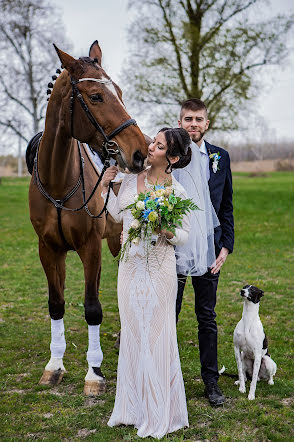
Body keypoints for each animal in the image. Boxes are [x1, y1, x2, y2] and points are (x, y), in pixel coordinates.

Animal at [29, 40, 147, 394]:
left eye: (119, 92)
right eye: (95, 96)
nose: (141, 150)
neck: (58, 183)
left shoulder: (90, 246)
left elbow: (92, 308)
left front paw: (94, 373)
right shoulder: (48, 249)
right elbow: (56, 303)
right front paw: (54, 366)